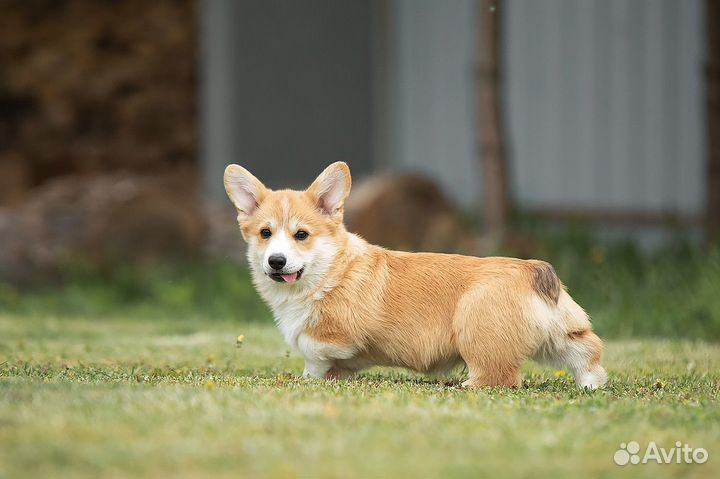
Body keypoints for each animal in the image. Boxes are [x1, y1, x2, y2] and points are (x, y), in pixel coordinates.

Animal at [225, 163, 608, 388]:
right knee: (587, 349)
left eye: (301, 235)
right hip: (561, 334)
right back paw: (592, 383)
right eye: (265, 234)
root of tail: (531, 269)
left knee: (500, 376)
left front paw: (311, 378)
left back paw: (467, 388)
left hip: (477, 334)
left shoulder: (335, 333)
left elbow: (310, 347)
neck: (327, 270)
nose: (276, 262)